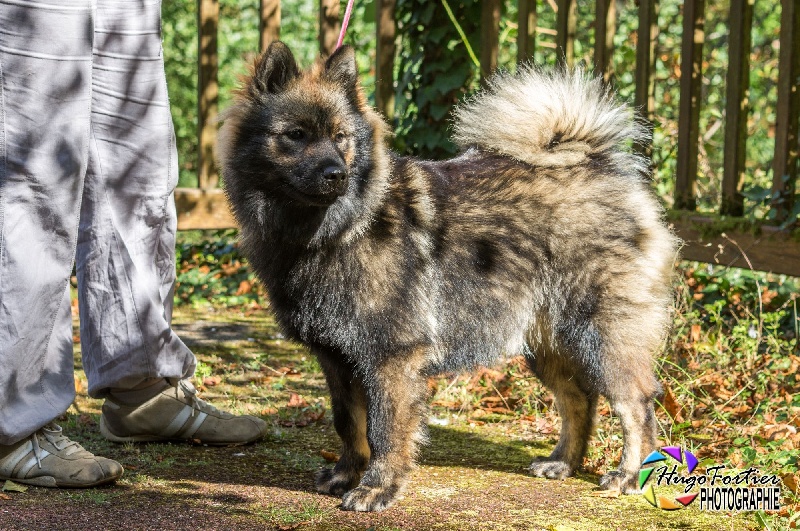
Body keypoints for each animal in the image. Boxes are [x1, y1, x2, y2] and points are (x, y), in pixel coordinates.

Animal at [220, 43, 680, 512]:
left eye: (340, 137)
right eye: (295, 135)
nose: (337, 174)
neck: (336, 230)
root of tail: (598, 166)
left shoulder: (390, 356)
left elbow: (384, 430)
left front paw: (376, 488)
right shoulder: (338, 359)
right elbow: (348, 423)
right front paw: (347, 474)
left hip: (603, 337)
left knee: (635, 404)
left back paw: (629, 475)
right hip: (546, 343)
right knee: (579, 399)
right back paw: (563, 463)